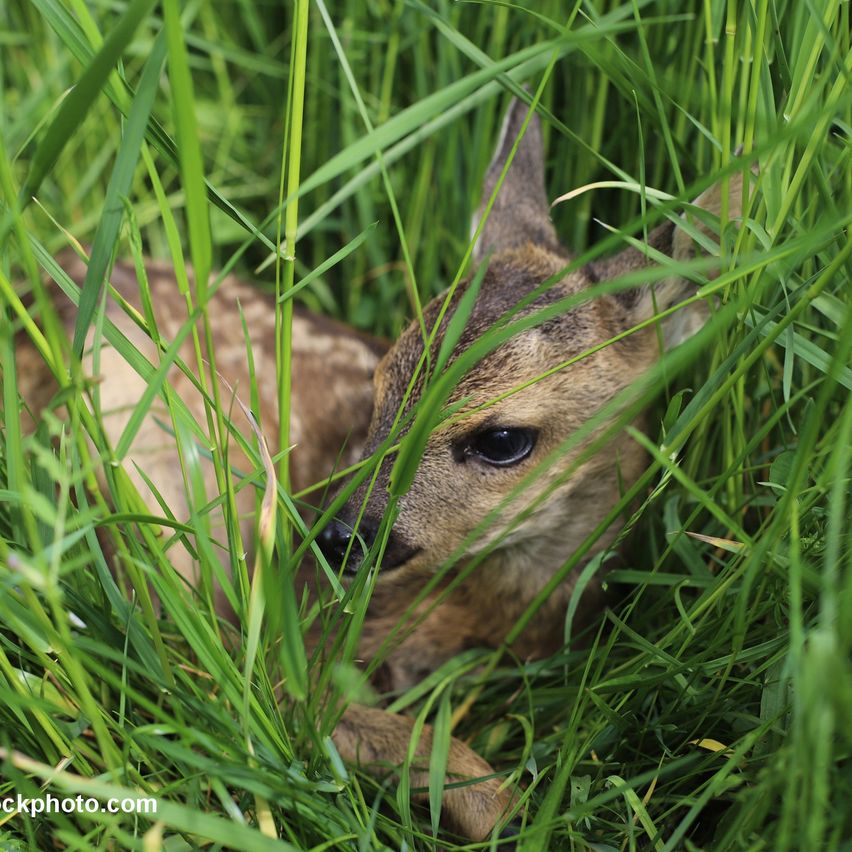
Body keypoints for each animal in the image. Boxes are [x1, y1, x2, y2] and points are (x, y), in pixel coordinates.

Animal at [11, 97, 746, 843]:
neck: (497, 613)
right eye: (381, 387)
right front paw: (509, 812)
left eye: (502, 439)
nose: (332, 538)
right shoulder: (280, 648)